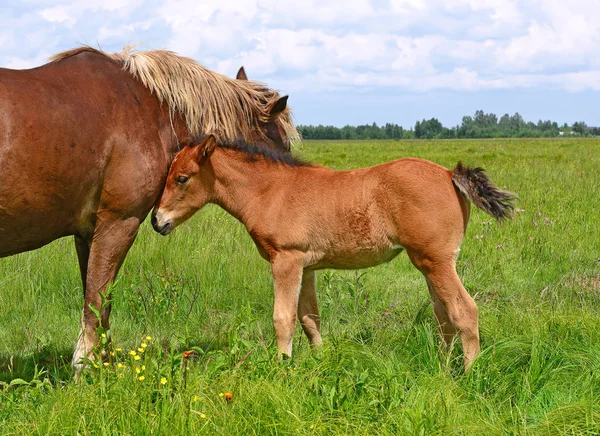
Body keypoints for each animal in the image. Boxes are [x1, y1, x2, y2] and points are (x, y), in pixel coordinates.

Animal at [0, 45, 300, 372]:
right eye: (281, 145)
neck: (149, 109)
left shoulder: (87, 233)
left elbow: (98, 300)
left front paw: (104, 366)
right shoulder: (119, 223)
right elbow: (97, 299)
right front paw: (86, 366)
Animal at [152, 137, 512, 372]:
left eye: (181, 178)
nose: (157, 221)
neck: (270, 191)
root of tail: (450, 174)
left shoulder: (286, 260)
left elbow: (283, 319)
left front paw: (282, 369)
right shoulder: (306, 265)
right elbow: (309, 317)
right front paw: (321, 360)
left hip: (436, 262)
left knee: (464, 311)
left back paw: (468, 374)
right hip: (428, 264)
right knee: (443, 315)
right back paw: (442, 369)